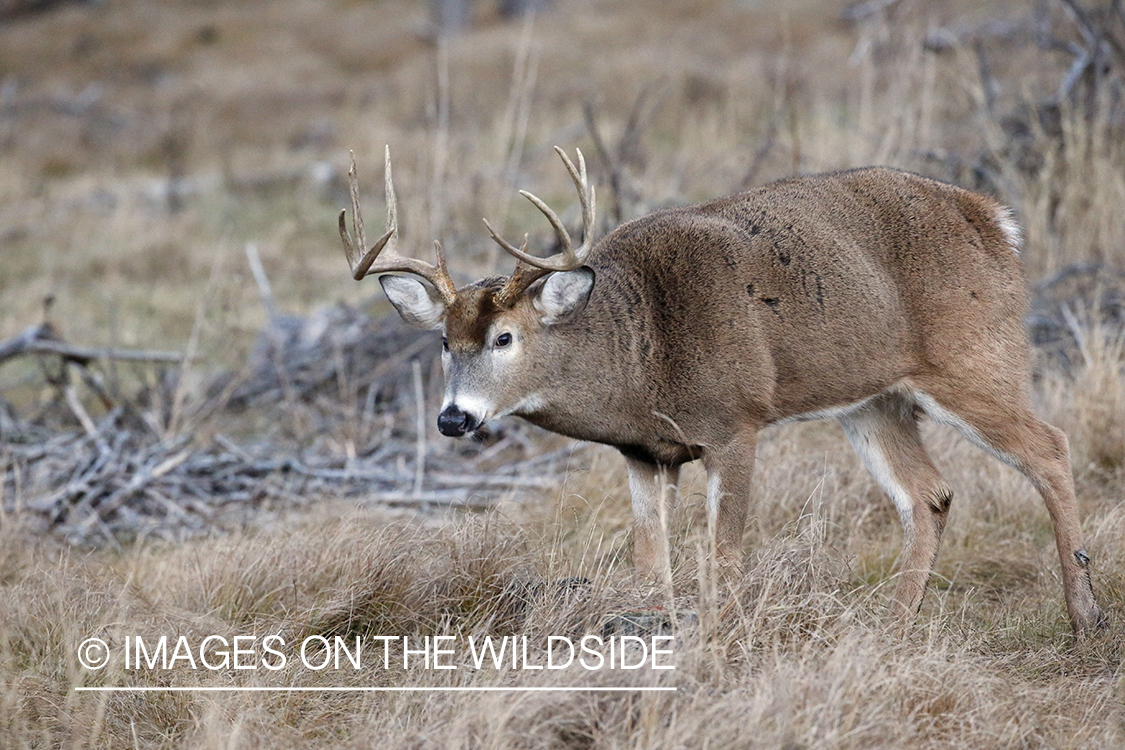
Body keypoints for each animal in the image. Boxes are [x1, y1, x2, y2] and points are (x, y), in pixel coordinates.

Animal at [335, 145, 1107, 634]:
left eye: (504, 338)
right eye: (443, 342)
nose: (454, 419)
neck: (643, 352)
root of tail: (993, 219)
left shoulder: (735, 421)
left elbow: (725, 558)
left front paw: (721, 645)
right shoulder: (645, 453)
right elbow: (650, 563)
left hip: (974, 357)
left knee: (1049, 447)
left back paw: (1085, 616)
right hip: (872, 401)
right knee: (929, 494)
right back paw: (892, 628)